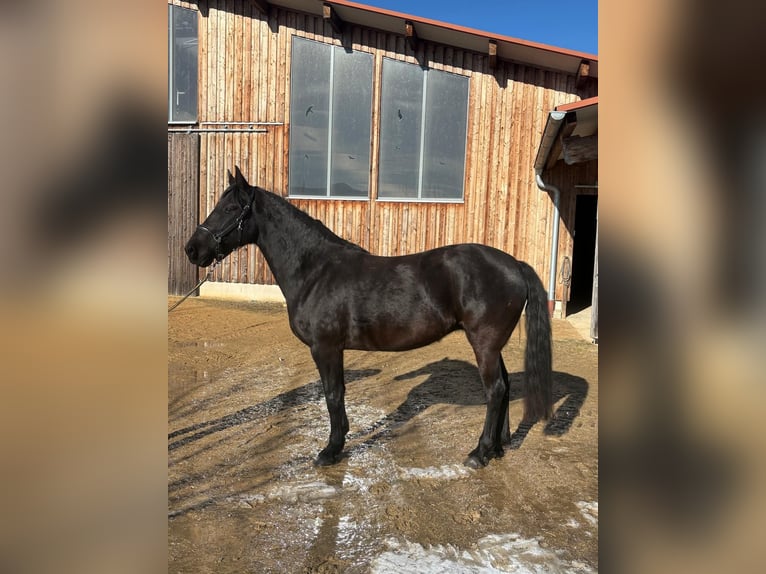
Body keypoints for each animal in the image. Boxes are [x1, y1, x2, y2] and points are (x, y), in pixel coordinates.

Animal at [184, 167, 552, 468]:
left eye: (230, 209)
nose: (192, 249)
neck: (315, 270)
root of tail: (514, 264)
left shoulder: (326, 348)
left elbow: (333, 395)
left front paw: (331, 451)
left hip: (484, 344)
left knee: (495, 389)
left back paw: (479, 453)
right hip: (491, 346)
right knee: (504, 387)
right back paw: (496, 450)